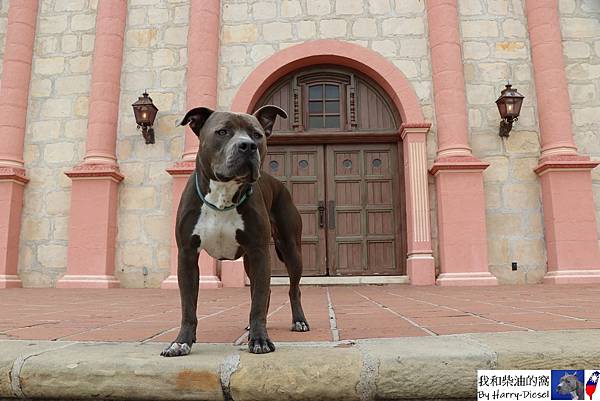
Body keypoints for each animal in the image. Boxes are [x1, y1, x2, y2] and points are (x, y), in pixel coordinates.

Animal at [161, 105, 310, 356]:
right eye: (222, 132)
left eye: (257, 135)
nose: (247, 146)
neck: (223, 194)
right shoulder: (187, 255)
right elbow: (188, 306)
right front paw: (181, 342)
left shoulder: (260, 252)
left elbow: (258, 300)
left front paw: (260, 339)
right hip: (250, 260)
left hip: (290, 250)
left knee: (293, 289)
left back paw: (298, 320)